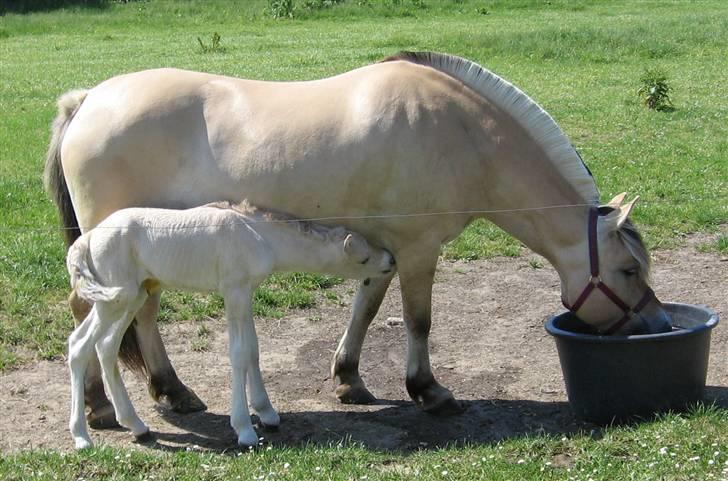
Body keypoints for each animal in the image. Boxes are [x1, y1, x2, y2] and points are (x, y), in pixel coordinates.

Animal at [65, 201, 396, 448]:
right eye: (363, 259)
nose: (390, 259)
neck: (257, 235)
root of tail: (87, 239)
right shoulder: (234, 290)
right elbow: (238, 353)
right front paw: (245, 430)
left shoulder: (246, 292)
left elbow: (252, 349)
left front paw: (267, 414)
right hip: (115, 298)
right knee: (79, 345)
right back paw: (81, 437)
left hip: (130, 297)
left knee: (105, 346)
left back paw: (136, 426)